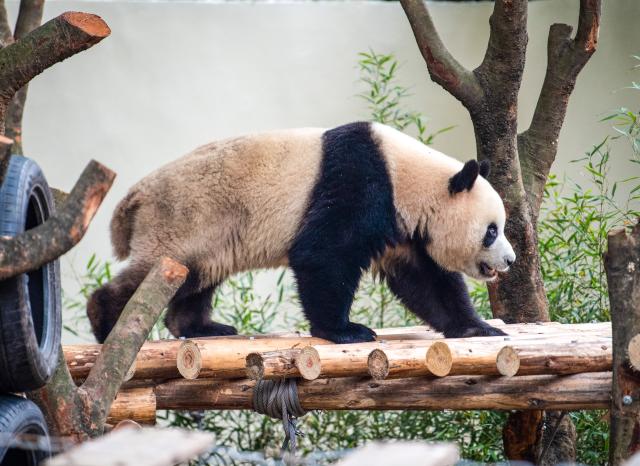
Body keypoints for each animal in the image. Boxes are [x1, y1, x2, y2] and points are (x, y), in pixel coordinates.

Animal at [87, 121, 515, 344]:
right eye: (491, 231)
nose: (510, 260)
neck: (409, 177)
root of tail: (133, 198)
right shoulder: (360, 182)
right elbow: (324, 254)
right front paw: (345, 331)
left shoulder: (402, 229)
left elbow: (426, 281)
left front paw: (478, 327)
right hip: (182, 219)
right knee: (151, 275)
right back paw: (108, 322)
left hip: (207, 237)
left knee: (194, 279)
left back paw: (201, 327)